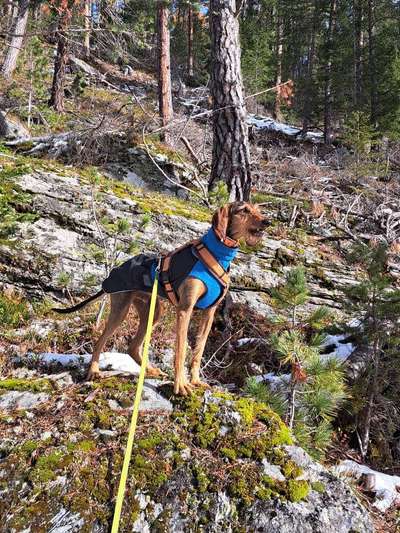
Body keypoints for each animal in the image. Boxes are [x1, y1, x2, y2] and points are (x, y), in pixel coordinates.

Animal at [54, 202, 268, 392]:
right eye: (244, 210)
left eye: (257, 209)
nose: (268, 221)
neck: (217, 255)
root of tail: (116, 271)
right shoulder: (185, 310)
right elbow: (181, 352)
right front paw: (181, 385)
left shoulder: (208, 314)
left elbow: (198, 352)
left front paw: (196, 381)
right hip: (121, 309)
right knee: (100, 341)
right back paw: (94, 371)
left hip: (154, 311)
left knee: (133, 347)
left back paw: (150, 370)